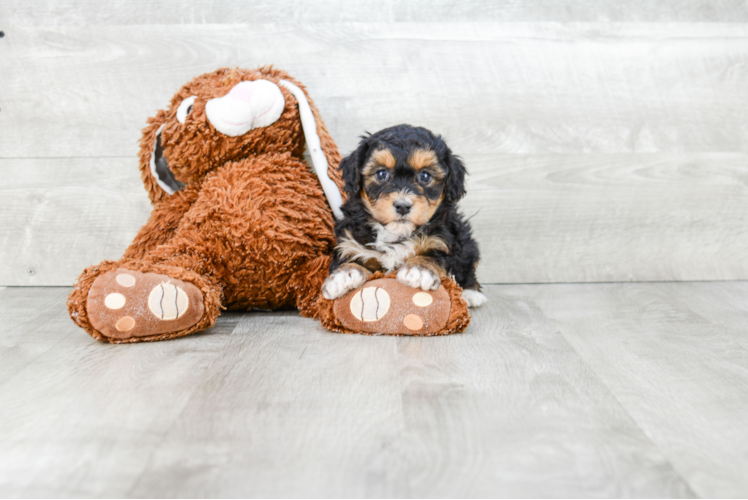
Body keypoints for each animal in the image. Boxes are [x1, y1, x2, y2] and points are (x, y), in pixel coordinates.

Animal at [322, 123, 488, 306]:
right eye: (381, 174)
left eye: (425, 176)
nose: (402, 206)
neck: (395, 233)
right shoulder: (352, 242)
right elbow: (351, 257)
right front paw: (344, 275)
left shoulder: (443, 240)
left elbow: (435, 256)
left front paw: (419, 269)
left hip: (467, 243)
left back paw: (471, 293)